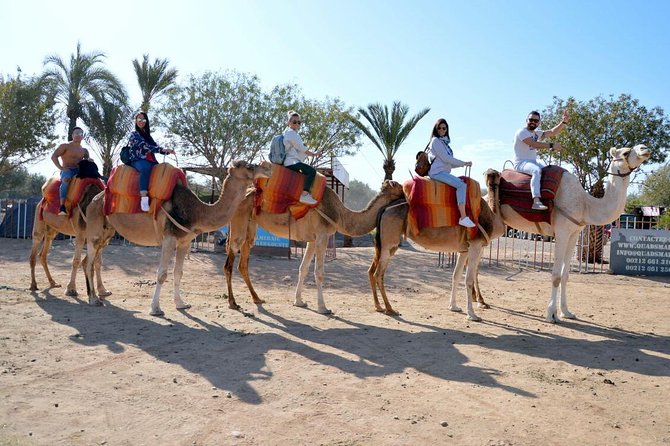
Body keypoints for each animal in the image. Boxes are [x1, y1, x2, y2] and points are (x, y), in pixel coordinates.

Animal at [82, 160, 272, 315]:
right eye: (249, 165)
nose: (268, 168)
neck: (197, 212)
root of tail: (94, 200)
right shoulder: (169, 238)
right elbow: (162, 274)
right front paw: (155, 308)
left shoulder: (185, 242)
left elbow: (178, 272)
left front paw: (181, 303)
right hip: (94, 229)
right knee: (89, 261)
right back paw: (93, 299)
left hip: (107, 232)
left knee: (90, 260)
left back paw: (97, 293)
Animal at [224, 180, 406, 314]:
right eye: (399, 186)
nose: (407, 196)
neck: (340, 214)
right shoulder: (322, 236)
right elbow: (319, 272)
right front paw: (323, 307)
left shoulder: (312, 239)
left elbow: (303, 268)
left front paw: (299, 301)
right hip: (239, 219)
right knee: (230, 261)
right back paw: (233, 303)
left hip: (250, 225)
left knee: (243, 262)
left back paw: (257, 298)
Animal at [368, 171, 506, 321]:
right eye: (489, 175)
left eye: (496, 175)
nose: (493, 179)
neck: (491, 218)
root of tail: (385, 209)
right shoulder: (476, 245)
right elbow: (468, 280)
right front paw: (472, 314)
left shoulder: (464, 249)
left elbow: (456, 275)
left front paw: (454, 307)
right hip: (389, 242)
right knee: (378, 274)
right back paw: (389, 309)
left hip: (387, 244)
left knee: (376, 271)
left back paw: (380, 307)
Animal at [493, 144, 651, 323]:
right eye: (625, 152)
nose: (644, 149)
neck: (585, 205)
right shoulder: (561, 232)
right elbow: (555, 275)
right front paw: (551, 314)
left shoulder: (573, 234)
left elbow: (565, 275)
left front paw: (566, 312)